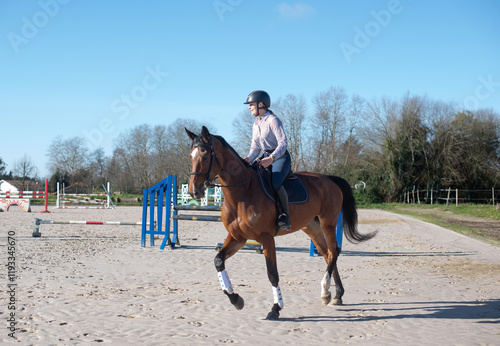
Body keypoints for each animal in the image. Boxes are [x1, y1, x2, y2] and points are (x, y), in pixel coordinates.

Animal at [186, 125, 376, 320]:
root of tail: (329, 179)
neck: (242, 192)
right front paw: (235, 299)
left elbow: (272, 273)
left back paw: (325, 290)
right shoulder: (238, 237)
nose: (194, 191)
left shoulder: (266, 238)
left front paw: (276, 308)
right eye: (191, 157)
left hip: (328, 223)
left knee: (334, 251)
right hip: (312, 227)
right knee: (327, 253)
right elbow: (218, 261)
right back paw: (336, 294)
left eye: (205, 156)